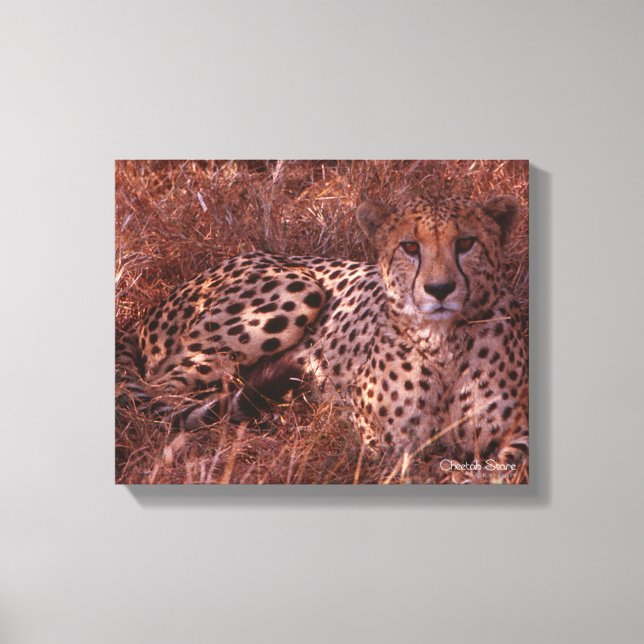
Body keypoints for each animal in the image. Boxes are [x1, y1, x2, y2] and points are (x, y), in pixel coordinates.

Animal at [116, 193, 528, 468]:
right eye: (410, 247)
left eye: (466, 243)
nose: (439, 289)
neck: (444, 342)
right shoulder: (383, 443)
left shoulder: (519, 433)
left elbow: (503, 464)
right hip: (298, 289)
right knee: (162, 392)